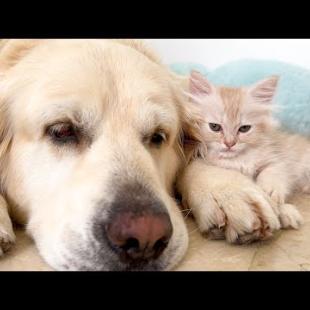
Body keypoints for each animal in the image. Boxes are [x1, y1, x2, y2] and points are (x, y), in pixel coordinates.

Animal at [189, 71, 308, 229]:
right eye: (214, 127)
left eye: (244, 128)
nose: (229, 143)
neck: (238, 159)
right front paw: (284, 212)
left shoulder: (277, 158)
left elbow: (272, 173)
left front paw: (272, 194)